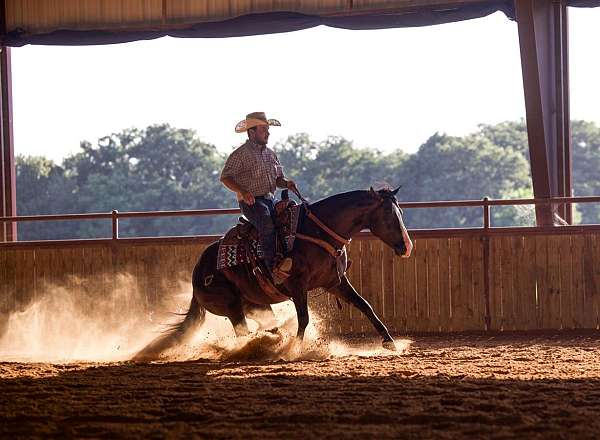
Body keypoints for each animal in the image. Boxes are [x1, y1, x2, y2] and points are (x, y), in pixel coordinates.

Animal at [132, 186, 412, 360]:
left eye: (401, 212)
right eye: (389, 215)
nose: (406, 247)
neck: (317, 232)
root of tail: (197, 274)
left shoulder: (336, 282)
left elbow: (365, 306)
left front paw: (390, 342)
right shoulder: (298, 286)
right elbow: (304, 318)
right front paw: (294, 350)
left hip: (256, 304)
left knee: (266, 326)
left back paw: (271, 340)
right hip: (231, 306)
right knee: (243, 332)